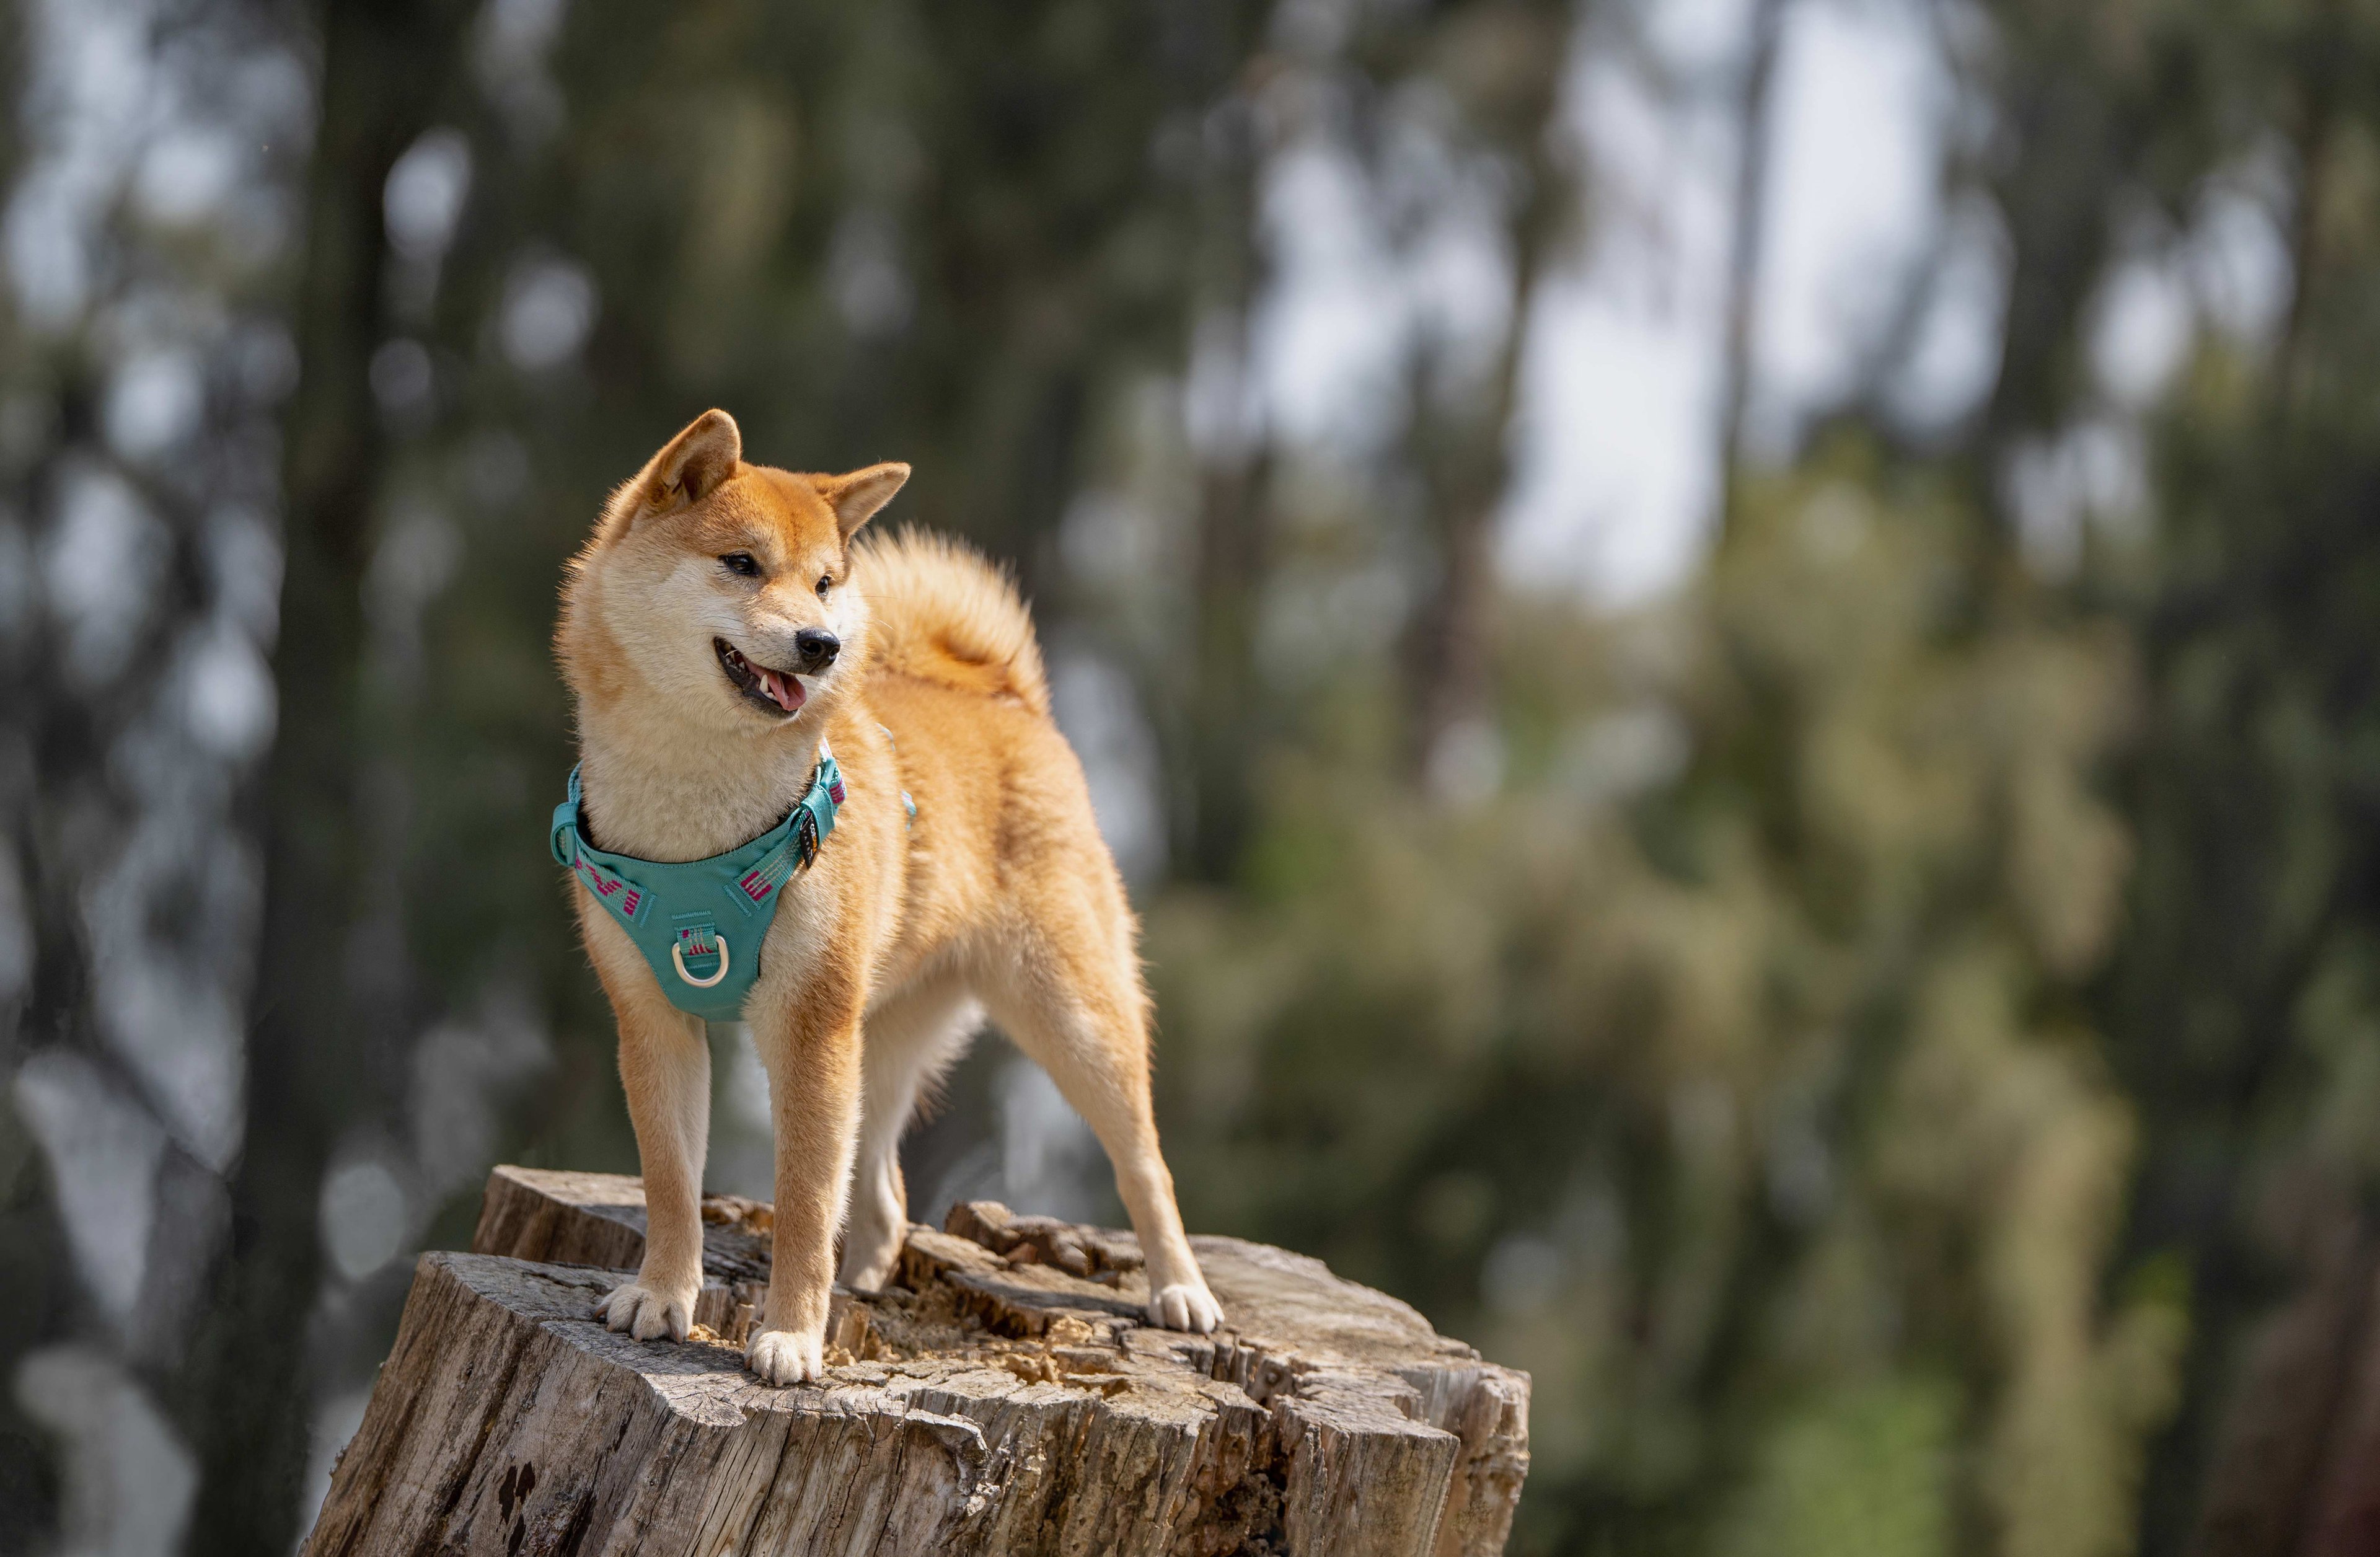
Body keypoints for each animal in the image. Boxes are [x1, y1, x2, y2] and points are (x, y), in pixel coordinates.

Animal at [559, 409, 1228, 1380]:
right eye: (742, 564)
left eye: (824, 583)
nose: (822, 644)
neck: (697, 820)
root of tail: (1001, 694)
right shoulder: (654, 1020)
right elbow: (672, 1185)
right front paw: (661, 1296)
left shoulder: (806, 1026)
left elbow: (804, 1202)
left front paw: (792, 1336)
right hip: (877, 1033)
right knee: (880, 1177)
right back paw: (868, 1274)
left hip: (1069, 1018)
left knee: (1145, 1163)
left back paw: (1182, 1291)